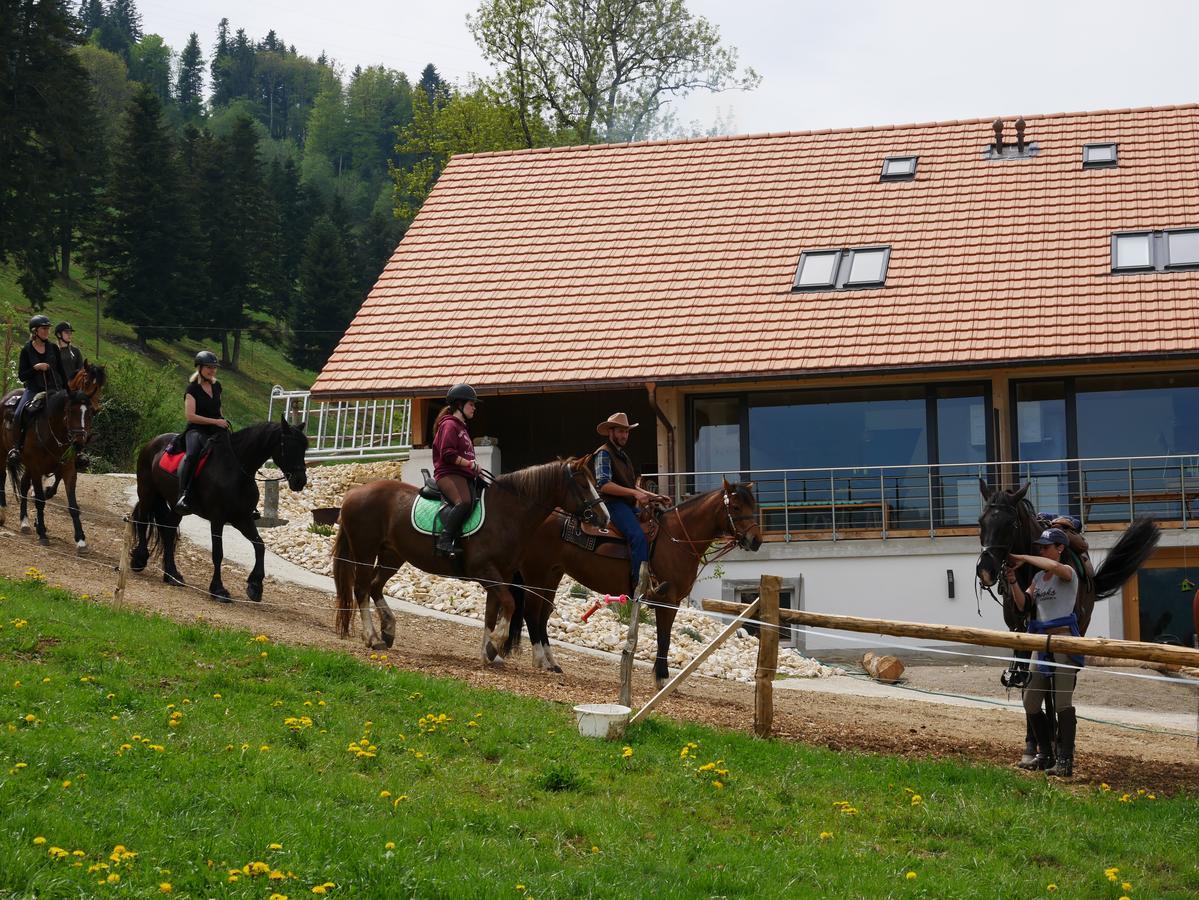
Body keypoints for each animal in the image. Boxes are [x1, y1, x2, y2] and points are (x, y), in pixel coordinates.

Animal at [131, 417, 309, 601]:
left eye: (304, 447)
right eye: (289, 446)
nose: (300, 481)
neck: (236, 470)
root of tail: (152, 442)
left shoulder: (242, 518)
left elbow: (259, 545)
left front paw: (255, 586)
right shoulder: (217, 518)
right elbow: (218, 553)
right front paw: (218, 590)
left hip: (174, 506)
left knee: (168, 531)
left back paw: (172, 575)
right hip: (147, 493)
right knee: (142, 521)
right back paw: (140, 560)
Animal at [333, 457, 609, 656]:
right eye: (583, 485)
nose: (604, 518)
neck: (506, 514)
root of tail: (354, 493)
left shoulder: (500, 575)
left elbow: (492, 612)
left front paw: (489, 653)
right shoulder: (485, 572)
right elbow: (509, 604)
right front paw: (495, 644)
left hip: (392, 556)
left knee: (374, 586)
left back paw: (388, 629)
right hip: (365, 552)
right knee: (361, 590)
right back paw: (372, 638)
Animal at [510, 481, 762, 685]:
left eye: (753, 507)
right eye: (736, 507)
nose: (756, 541)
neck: (677, 538)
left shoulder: (673, 602)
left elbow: (664, 638)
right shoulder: (667, 600)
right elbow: (664, 638)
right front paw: (662, 679)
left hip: (551, 577)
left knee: (542, 617)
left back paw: (551, 663)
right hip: (536, 574)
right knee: (531, 614)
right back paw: (540, 660)